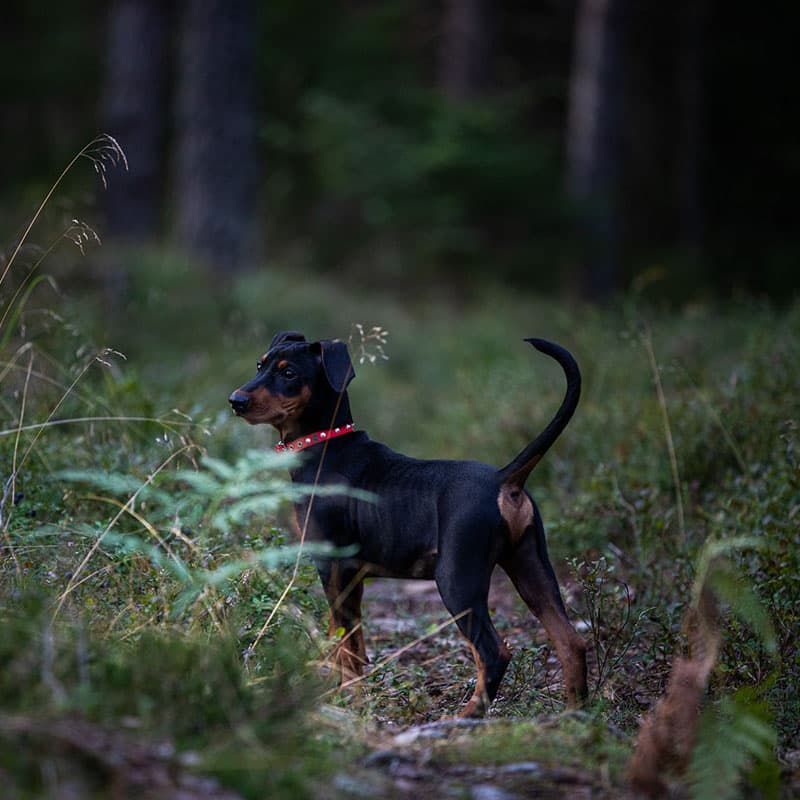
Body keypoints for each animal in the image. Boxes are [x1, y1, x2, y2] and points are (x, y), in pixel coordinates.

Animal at [228, 328, 584, 716]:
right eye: (260, 365)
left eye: (289, 373)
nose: (235, 400)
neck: (325, 446)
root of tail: (504, 480)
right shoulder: (352, 578)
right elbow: (351, 646)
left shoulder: (334, 568)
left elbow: (344, 646)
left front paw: (348, 702)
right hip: (531, 567)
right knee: (571, 641)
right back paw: (574, 715)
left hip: (457, 578)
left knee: (494, 653)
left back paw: (465, 717)